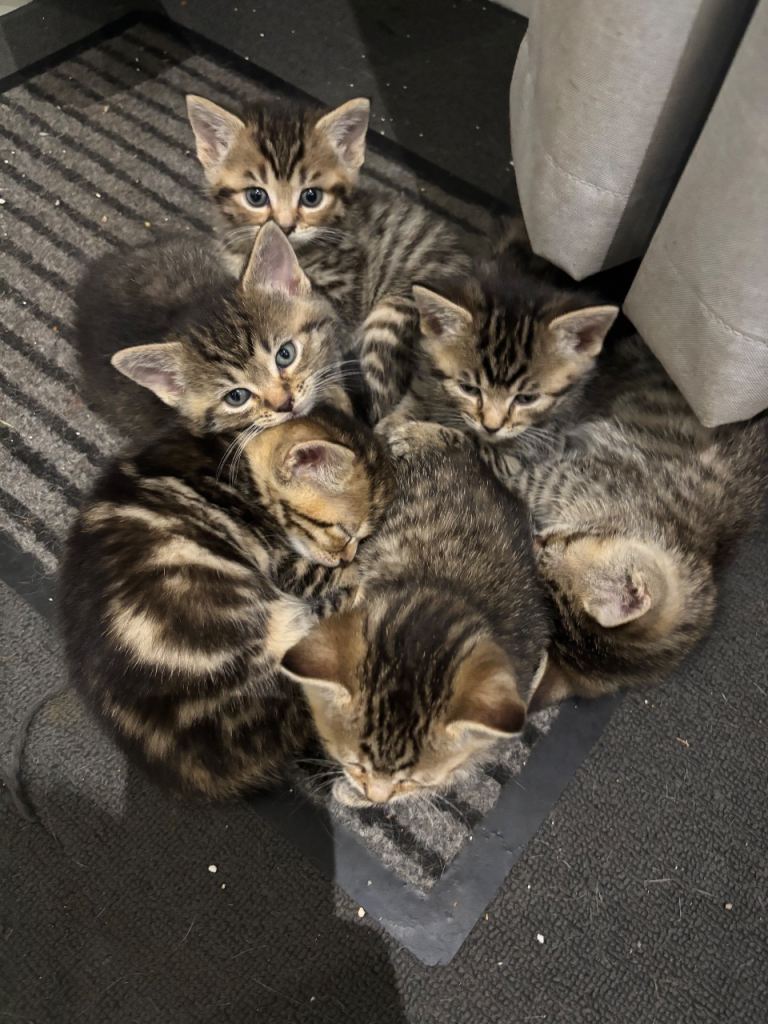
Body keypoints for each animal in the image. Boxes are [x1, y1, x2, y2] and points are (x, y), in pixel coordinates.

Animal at [60, 405, 393, 799]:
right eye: (343, 531)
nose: (345, 556)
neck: (238, 451)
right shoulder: (287, 563)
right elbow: (333, 576)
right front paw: (368, 569)